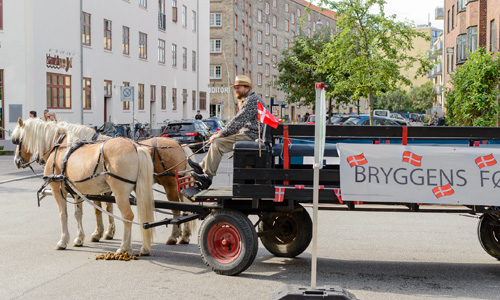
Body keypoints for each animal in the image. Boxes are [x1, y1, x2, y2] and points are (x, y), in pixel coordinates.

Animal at [13, 118, 154, 254]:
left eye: (18, 140)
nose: (17, 161)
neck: (59, 147)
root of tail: (136, 147)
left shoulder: (57, 190)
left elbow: (63, 214)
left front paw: (63, 240)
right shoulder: (76, 191)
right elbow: (78, 214)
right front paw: (79, 239)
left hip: (120, 194)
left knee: (127, 216)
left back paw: (124, 247)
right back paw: (142, 247)